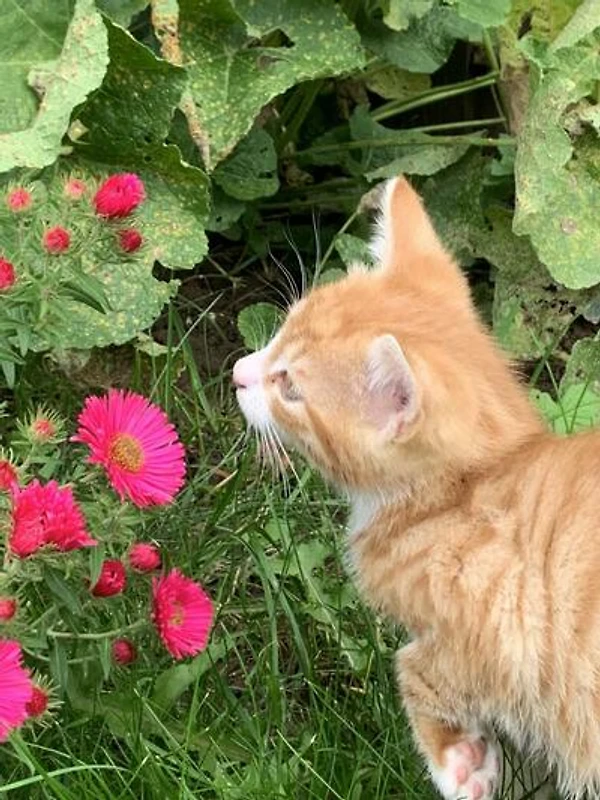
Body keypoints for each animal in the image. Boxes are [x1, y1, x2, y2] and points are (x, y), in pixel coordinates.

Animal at [233, 176, 600, 800]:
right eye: (277, 334)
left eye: (290, 388)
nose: (237, 372)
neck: (463, 490)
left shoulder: (510, 635)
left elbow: (414, 666)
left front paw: (462, 762)